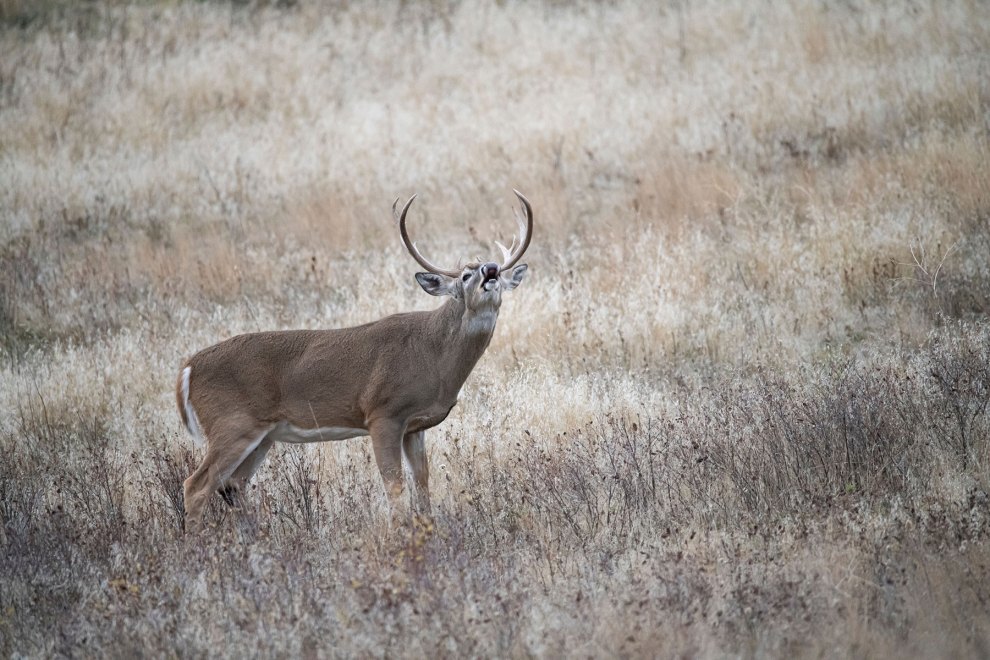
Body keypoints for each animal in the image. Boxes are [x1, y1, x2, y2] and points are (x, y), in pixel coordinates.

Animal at [178, 189, 536, 532]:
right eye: (464, 275)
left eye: (497, 269)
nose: (491, 269)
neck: (434, 356)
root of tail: (188, 368)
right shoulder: (382, 413)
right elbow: (395, 490)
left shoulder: (415, 426)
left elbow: (423, 488)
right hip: (231, 423)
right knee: (196, 485)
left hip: (262, 435)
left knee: (232, 485)